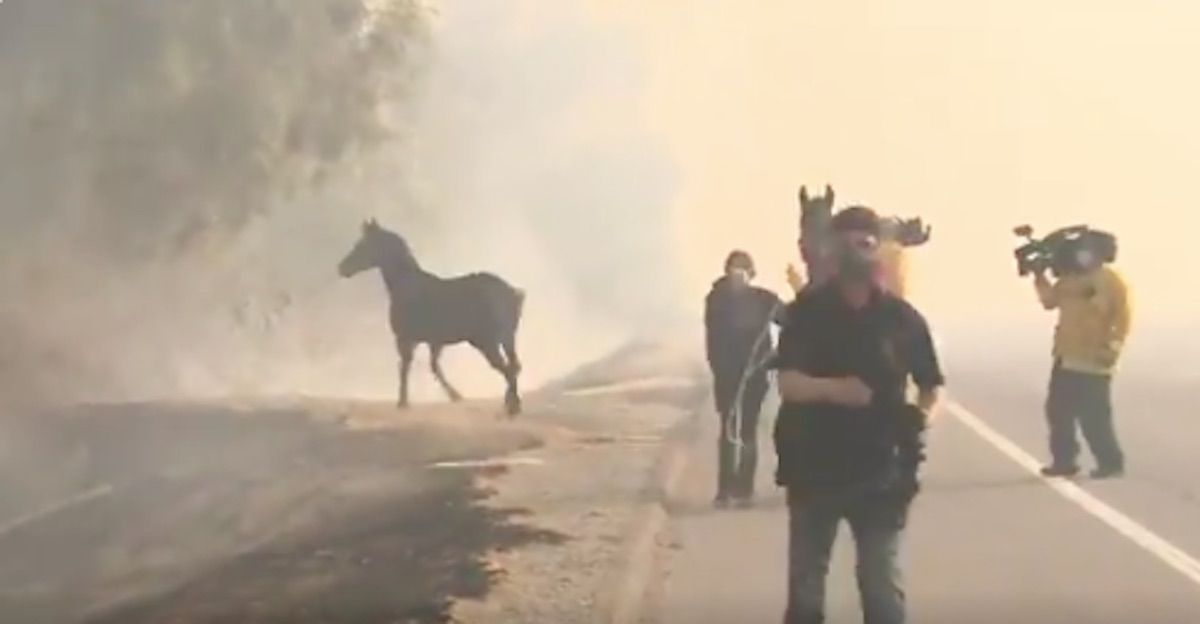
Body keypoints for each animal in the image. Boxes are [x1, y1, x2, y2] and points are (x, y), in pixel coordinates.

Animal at [338, 219, 525, 415]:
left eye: (362, 245)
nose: (342, 268)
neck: (407, 287)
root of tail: (511, 292)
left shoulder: (405, 340)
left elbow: (405, 369)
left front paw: (403, 402)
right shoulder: (433, 342)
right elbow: (433, 367)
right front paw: (455, 396)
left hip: (487, 342)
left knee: (508, 369)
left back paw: (511, 407)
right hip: (506, 339)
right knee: (514, 367)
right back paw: (511, 404)